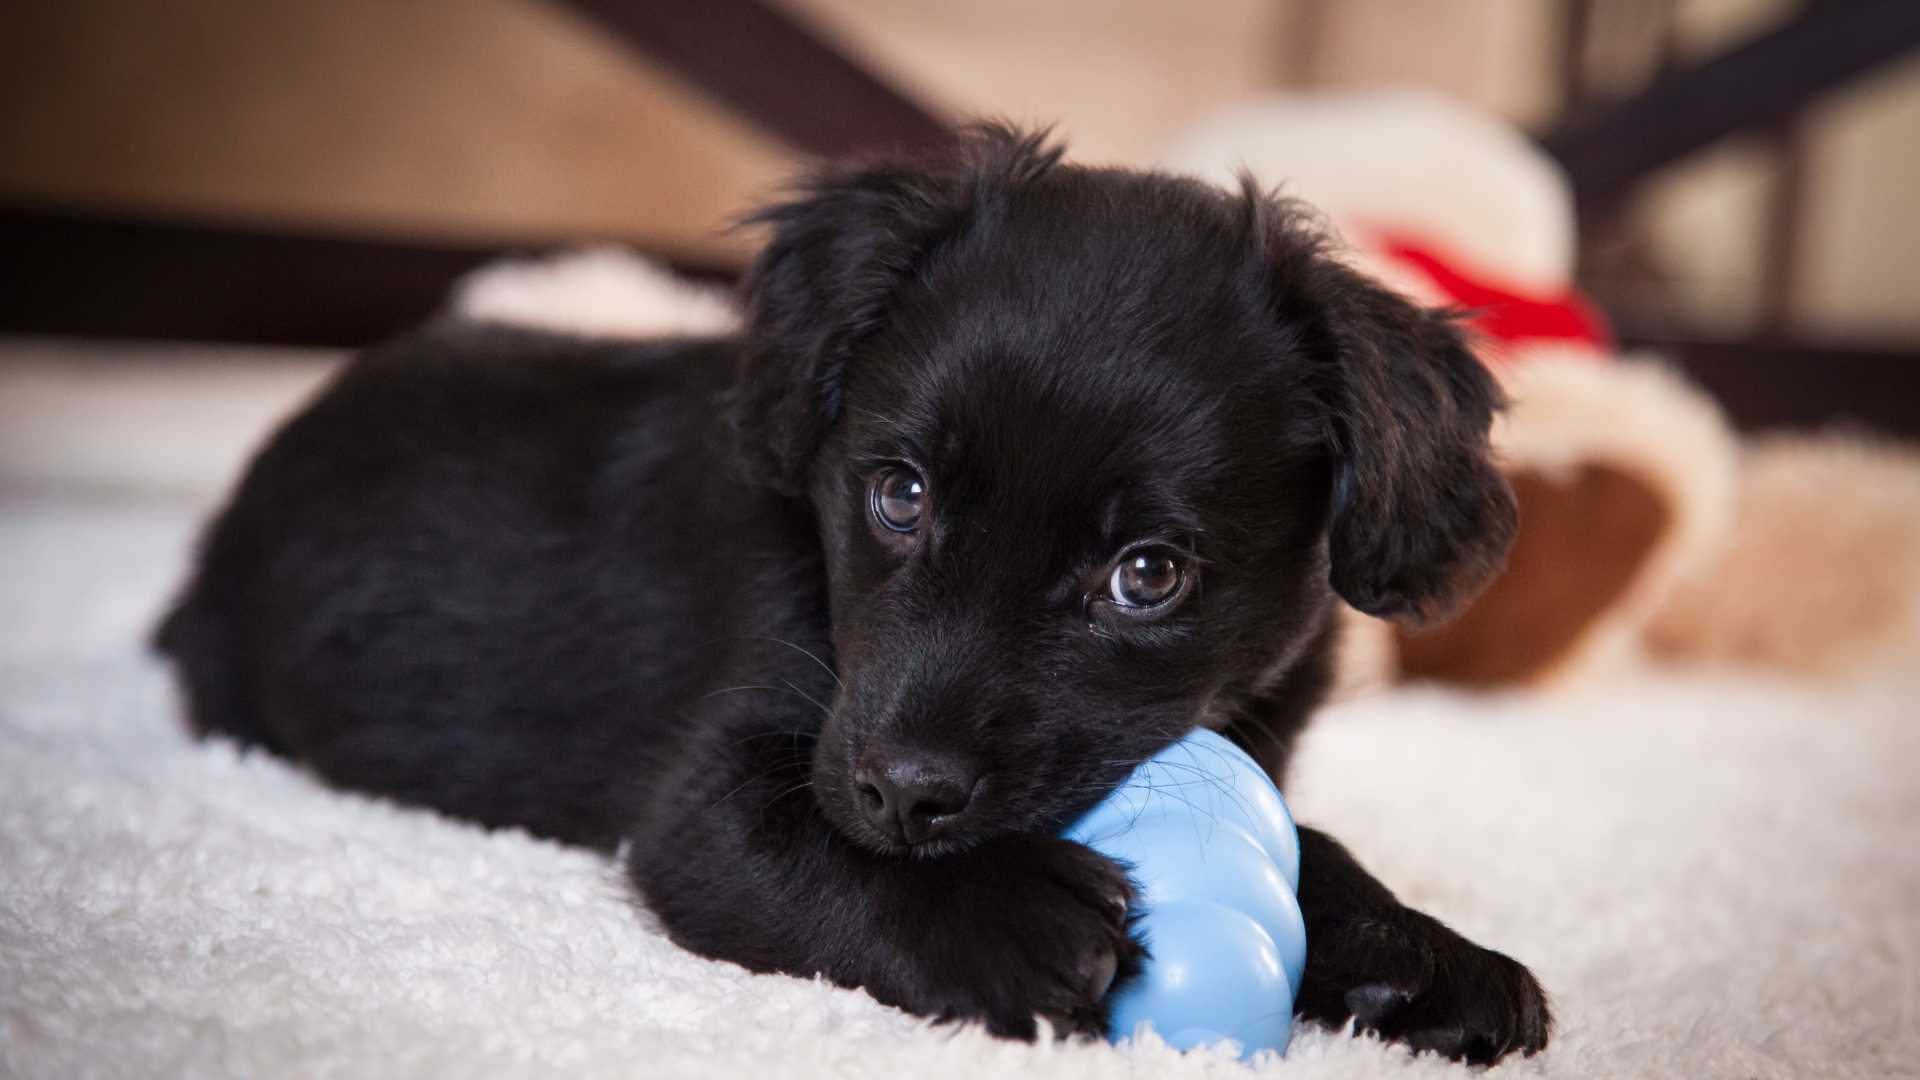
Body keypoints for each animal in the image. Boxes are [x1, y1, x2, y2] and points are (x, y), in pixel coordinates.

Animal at [157, 125, 1551, 1060]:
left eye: (1147, 576)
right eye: (901, 494)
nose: (905, 795)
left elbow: (1315, 844)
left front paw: (1420, 955)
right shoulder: (711, 800)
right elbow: (798, 845)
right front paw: (1004, 911)